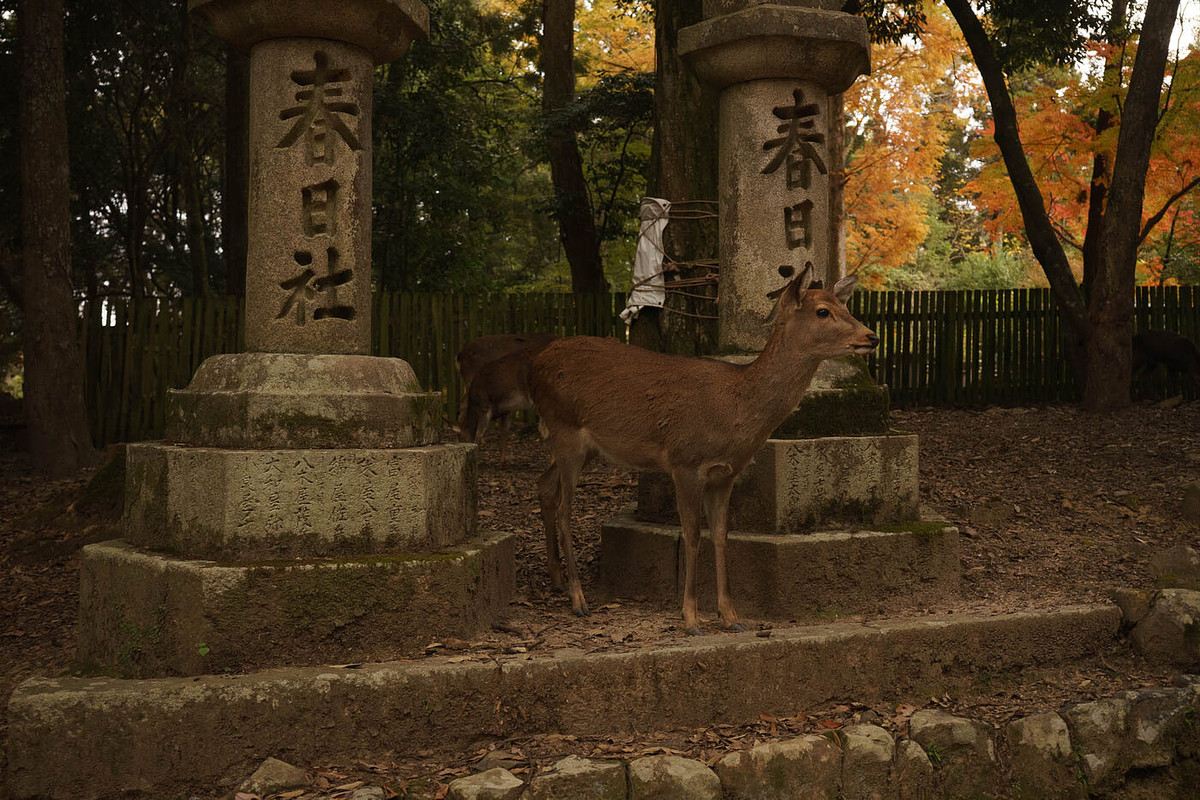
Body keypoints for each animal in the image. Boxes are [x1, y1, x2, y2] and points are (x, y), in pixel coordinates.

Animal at [529, 265, 878, 635]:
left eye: (845, 307)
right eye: (823, 312)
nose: (872, 337)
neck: (734, 413)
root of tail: (535, 365)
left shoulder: (725, 474)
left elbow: (722, 536)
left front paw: (731, 617)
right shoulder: (685, 462)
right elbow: (693, 535)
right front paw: (691, 618)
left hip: (587, 446)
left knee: (545, 486)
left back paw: (557, 580)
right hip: (564, 428)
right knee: (565, 508)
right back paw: (578, 599)